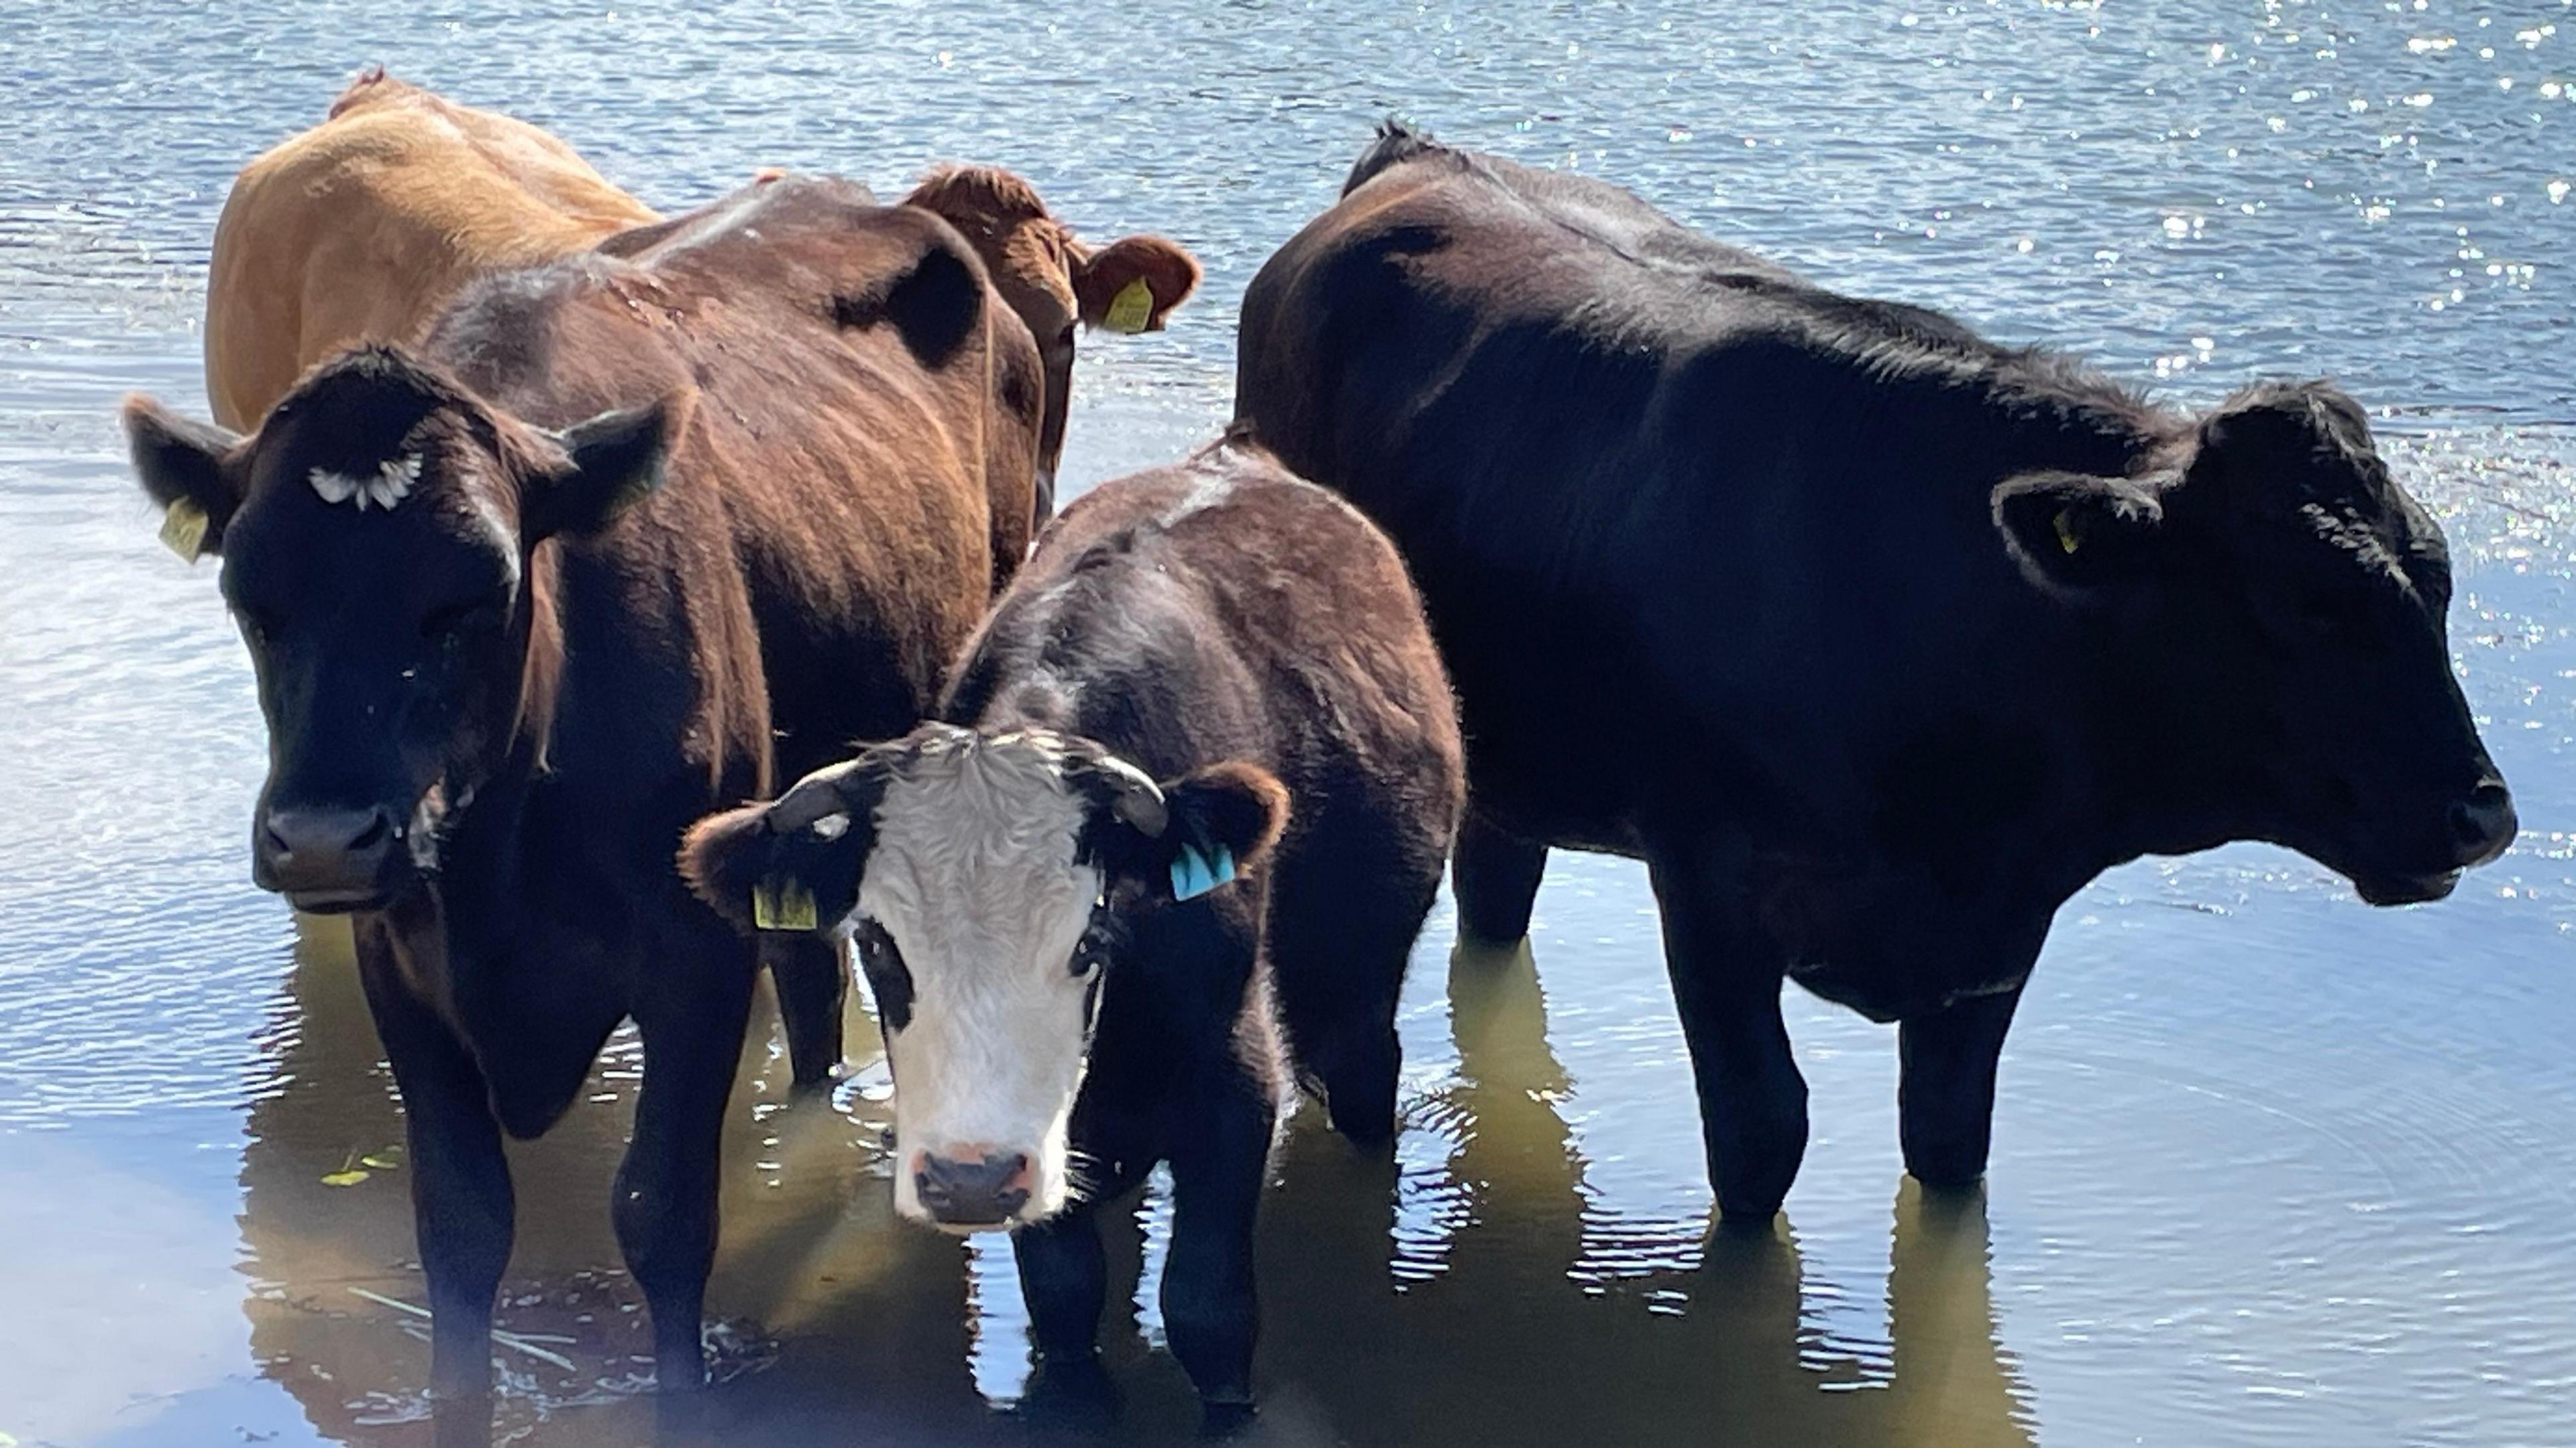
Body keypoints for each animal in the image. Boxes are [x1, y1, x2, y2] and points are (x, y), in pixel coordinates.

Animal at [121, 168, 1195, 1422]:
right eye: (252, 593)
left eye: (480, 587)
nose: (325, 839)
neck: (499, 858)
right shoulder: (403, 961)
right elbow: (459, 1224)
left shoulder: (692, 958)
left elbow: (666, 1212)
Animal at [1226, 123, 2514, 1221]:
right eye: (2309, 605)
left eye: (2439, 583)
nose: (2483, 812)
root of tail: (1418, 153)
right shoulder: (1709, 885)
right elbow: (1762, 1132)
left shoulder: (1992, 942)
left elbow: (1948, 1136)